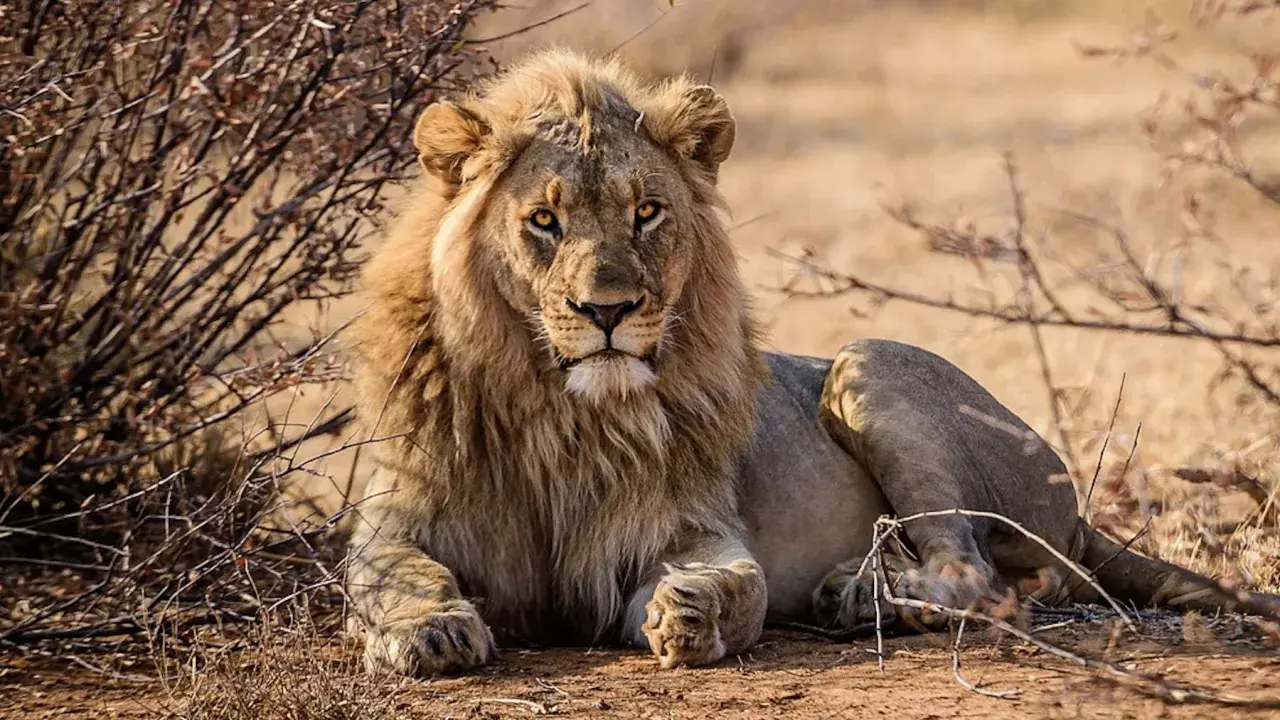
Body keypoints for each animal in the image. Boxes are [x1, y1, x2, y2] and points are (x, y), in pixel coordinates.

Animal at [345, 48, 1280, 676]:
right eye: (543, 220)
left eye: (647, 212)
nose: (607, 312)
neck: (560, 411)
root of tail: (1077, 506)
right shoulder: (397, 517)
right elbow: (391, 574)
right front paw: (430, 631)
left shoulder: (688, 527)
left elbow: (740, 583)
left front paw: (691, 611)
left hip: (870, 367)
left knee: (976, 573)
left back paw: (862, 597)